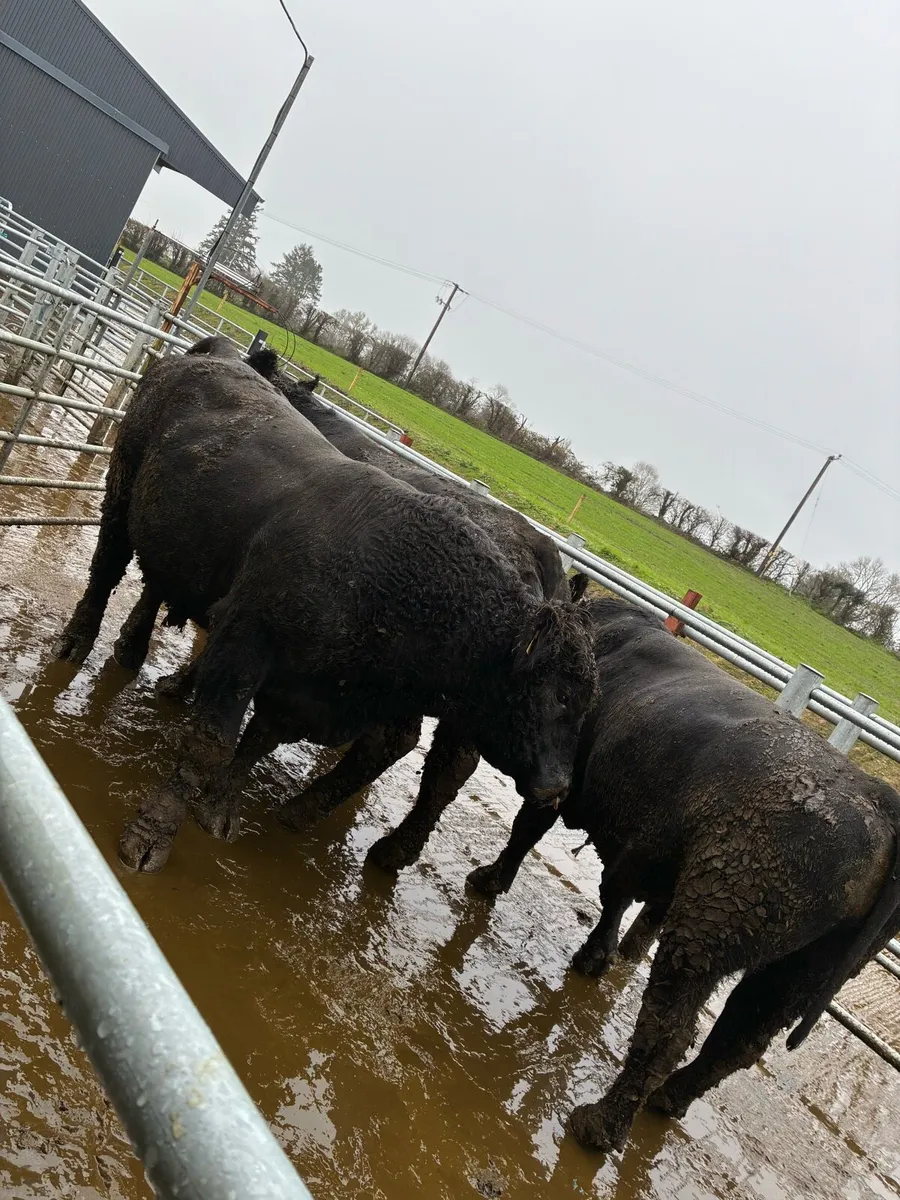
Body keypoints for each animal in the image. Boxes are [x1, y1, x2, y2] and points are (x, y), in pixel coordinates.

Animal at [56, 342, 598, 874]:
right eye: (560, 695)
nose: (558, 787)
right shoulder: (244, 643)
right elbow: (210, 743)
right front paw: (157, 829)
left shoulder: (304, 684)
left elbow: (260, 737)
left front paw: (217, 802)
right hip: (122, 491)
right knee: (105, 570)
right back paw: (76, 643)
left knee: (426, 761)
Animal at [467, 596, 900, 1155]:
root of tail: (877, 797)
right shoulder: (642, 852)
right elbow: (616, 899)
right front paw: (596, 956)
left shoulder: (562, 782)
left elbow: (526, 833)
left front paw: (488, 880)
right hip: (801, 971)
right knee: (736, 1042)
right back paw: (667, 1101)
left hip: (706, 931)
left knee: (669, 1035)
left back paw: (599, 1124)